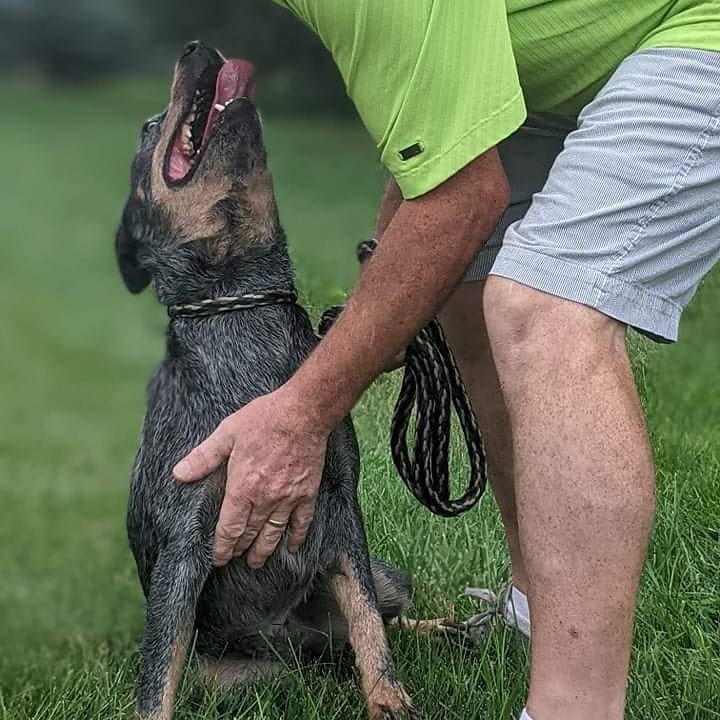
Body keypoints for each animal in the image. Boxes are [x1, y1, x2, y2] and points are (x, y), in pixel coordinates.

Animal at [115, 40, 420, 720]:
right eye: (149, 127)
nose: (196, 47)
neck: (240, 308)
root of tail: (291, 641)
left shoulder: (339, 507)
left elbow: (368, 622)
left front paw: (389, 699)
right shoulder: (185, 542)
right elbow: (156, 679)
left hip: (392, 578)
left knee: (394, 620)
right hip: (237, 672)